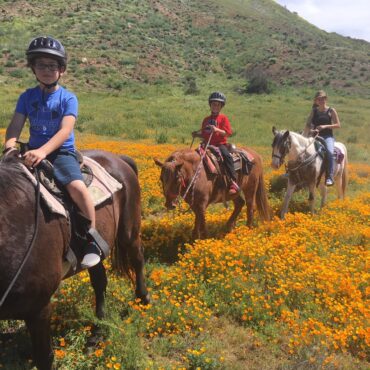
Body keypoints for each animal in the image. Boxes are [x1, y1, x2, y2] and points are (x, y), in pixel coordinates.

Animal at [0, 150, 150, 370]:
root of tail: (119, 158)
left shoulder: (39, 309)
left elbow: (44, 358)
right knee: (100, 282)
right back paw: (97, 332)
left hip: (128, 231)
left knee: (137, 259)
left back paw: (143, 299)